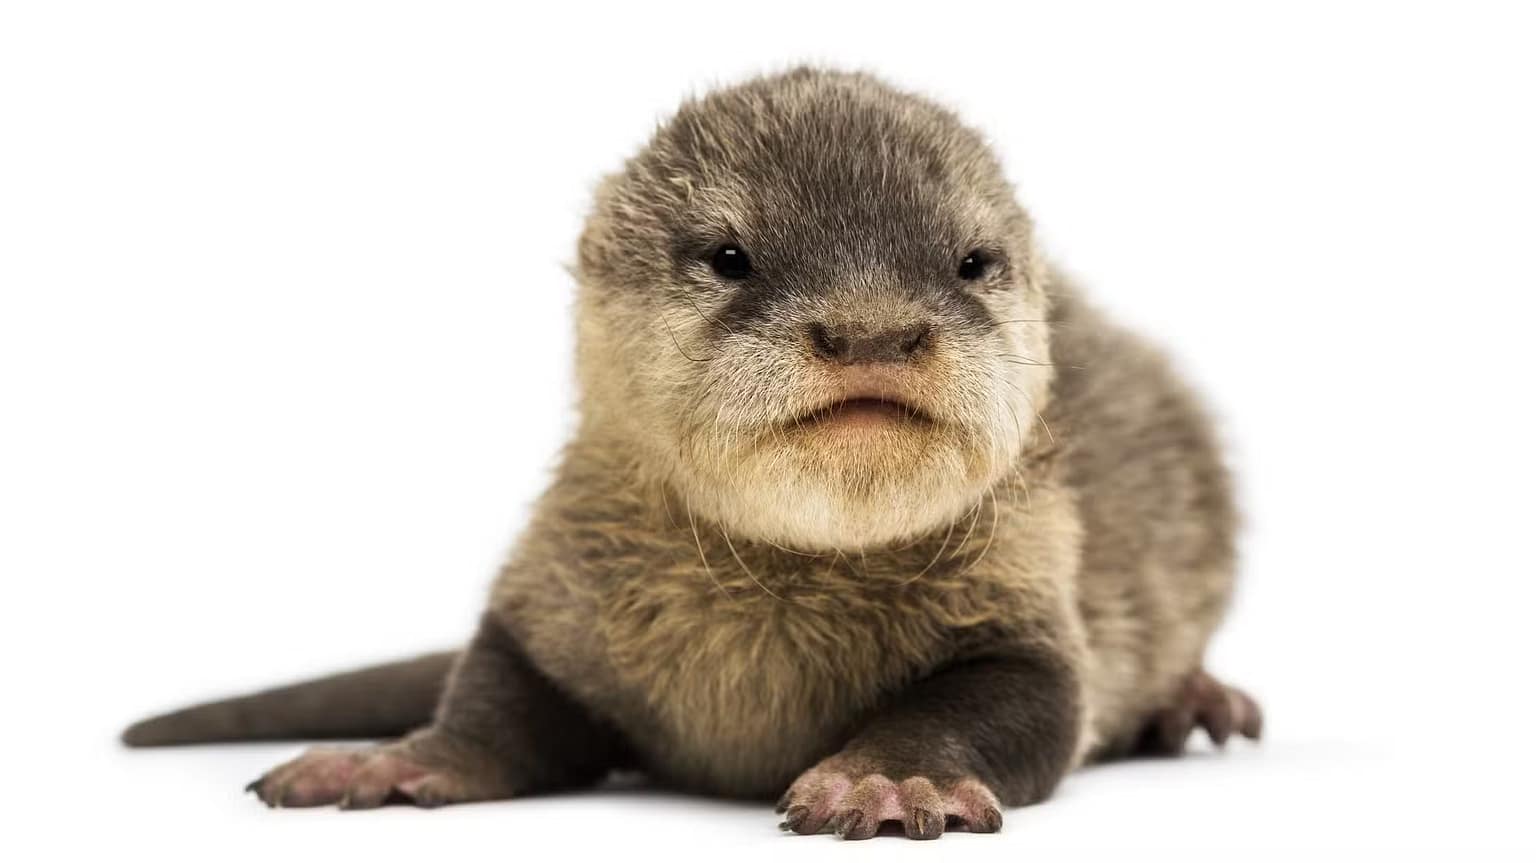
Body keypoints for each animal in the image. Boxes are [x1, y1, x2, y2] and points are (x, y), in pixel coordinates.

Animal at [122, 68, 1260, 840]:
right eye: (729, 255)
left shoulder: (1026, 587)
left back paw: (1197, 702)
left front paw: (889, 776)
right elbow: (501, 696)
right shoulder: (557, 582)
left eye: (973, 261)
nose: (871, 329)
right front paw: (394, 760)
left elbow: (1018, 701)